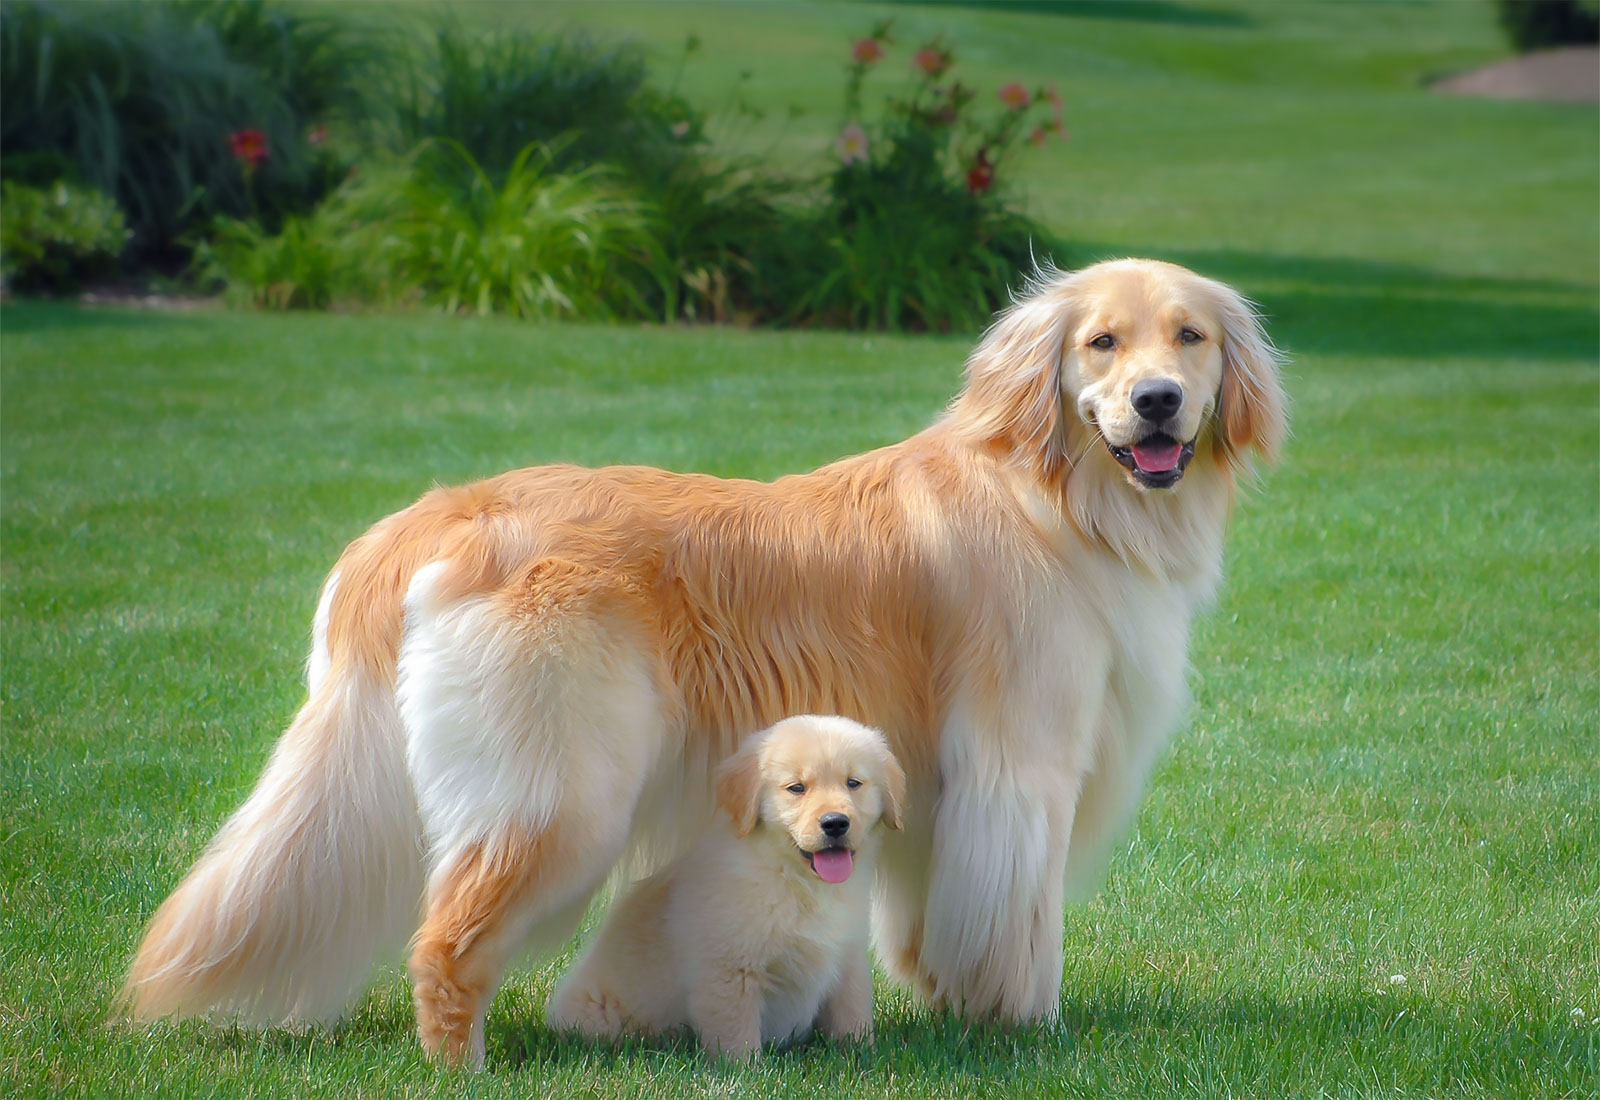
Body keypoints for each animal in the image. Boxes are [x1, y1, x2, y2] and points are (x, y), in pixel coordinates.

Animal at [547, 716, 902, 1061]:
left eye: (853, 783)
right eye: (796, 788)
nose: (835, 823)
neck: (794, 880)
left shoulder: (848, 957)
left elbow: (852, 1012)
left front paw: (861, 1053)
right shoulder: (731, 967)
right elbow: (735, 1031)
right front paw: (746, 1069)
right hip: (599, 1014)